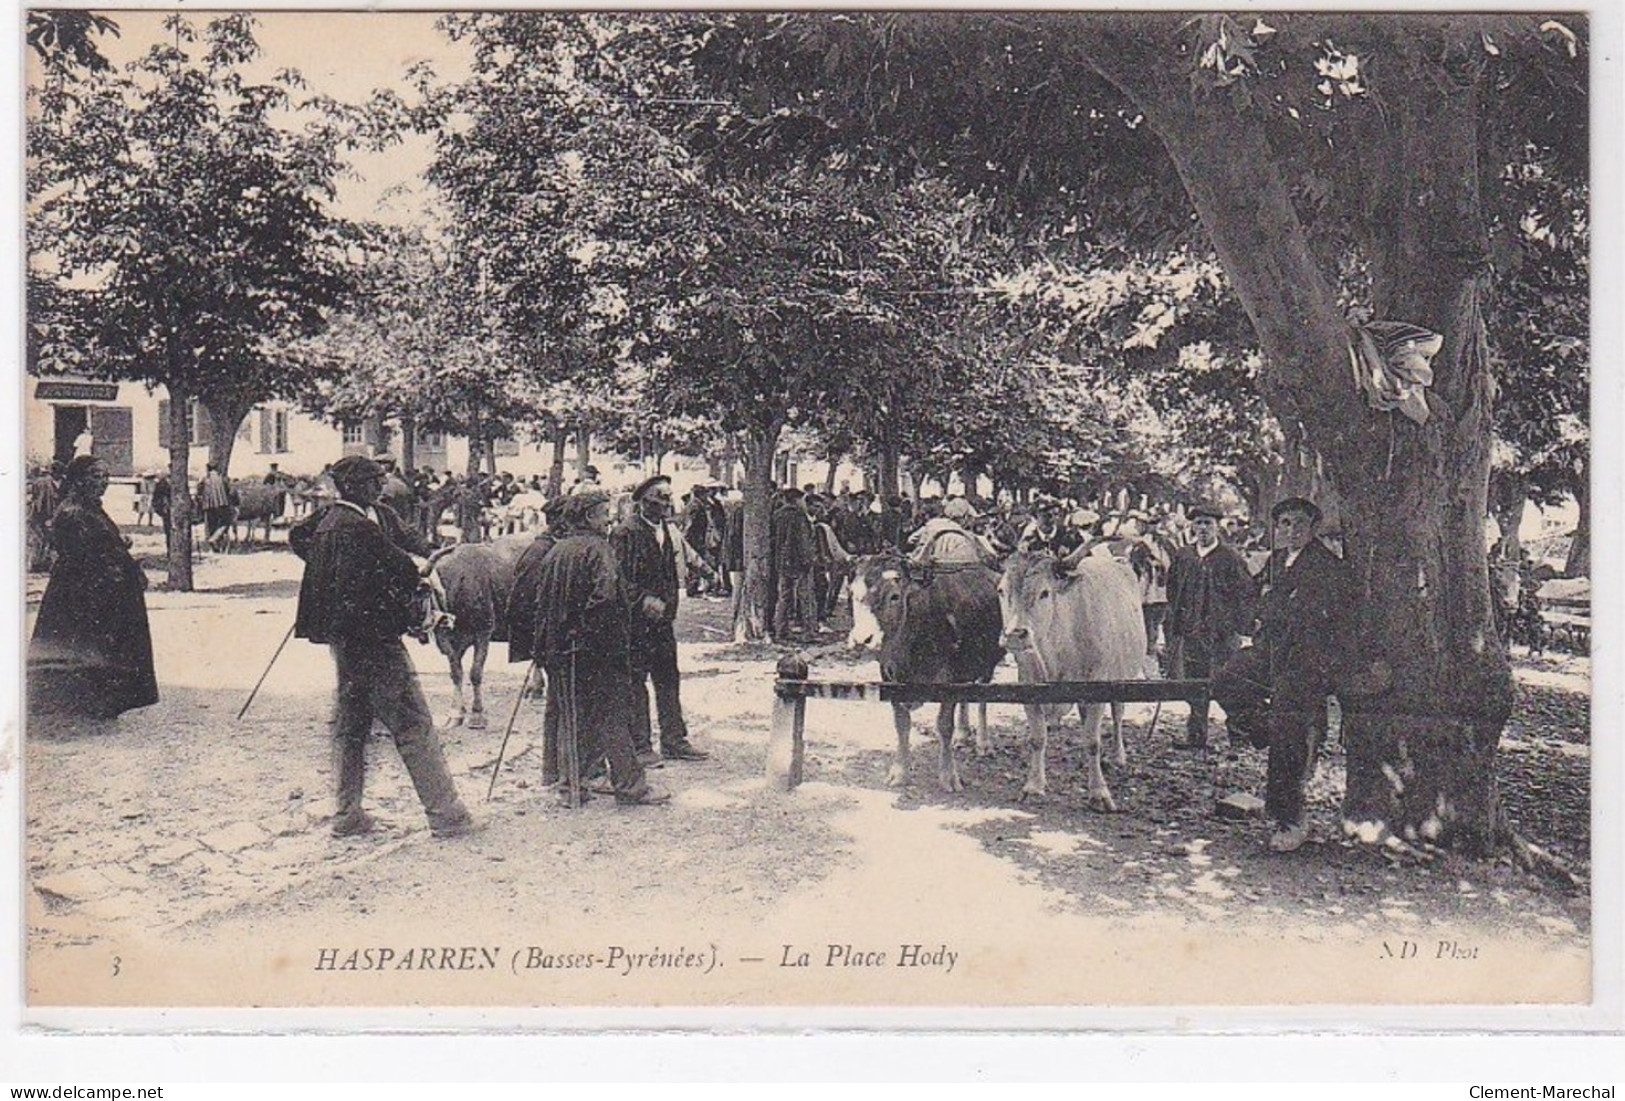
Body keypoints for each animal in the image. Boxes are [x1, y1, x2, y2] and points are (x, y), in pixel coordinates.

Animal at [429, 535, 529, 734]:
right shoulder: (449, 640)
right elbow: (456, 672)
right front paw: (456, 714)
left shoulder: (483, 631)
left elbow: (475, 672)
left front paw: (477, 715)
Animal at [845, 555, 1007, 789]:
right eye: (853, 594)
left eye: (894, 596)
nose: (861, 640)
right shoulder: (889, 676)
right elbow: (901, 724)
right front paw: (900, 772)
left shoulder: (950, 679)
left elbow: (944, 726)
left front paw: (948, 775)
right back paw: (962, 735)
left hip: (987, 661)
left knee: (982, 700)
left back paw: (983, 744)